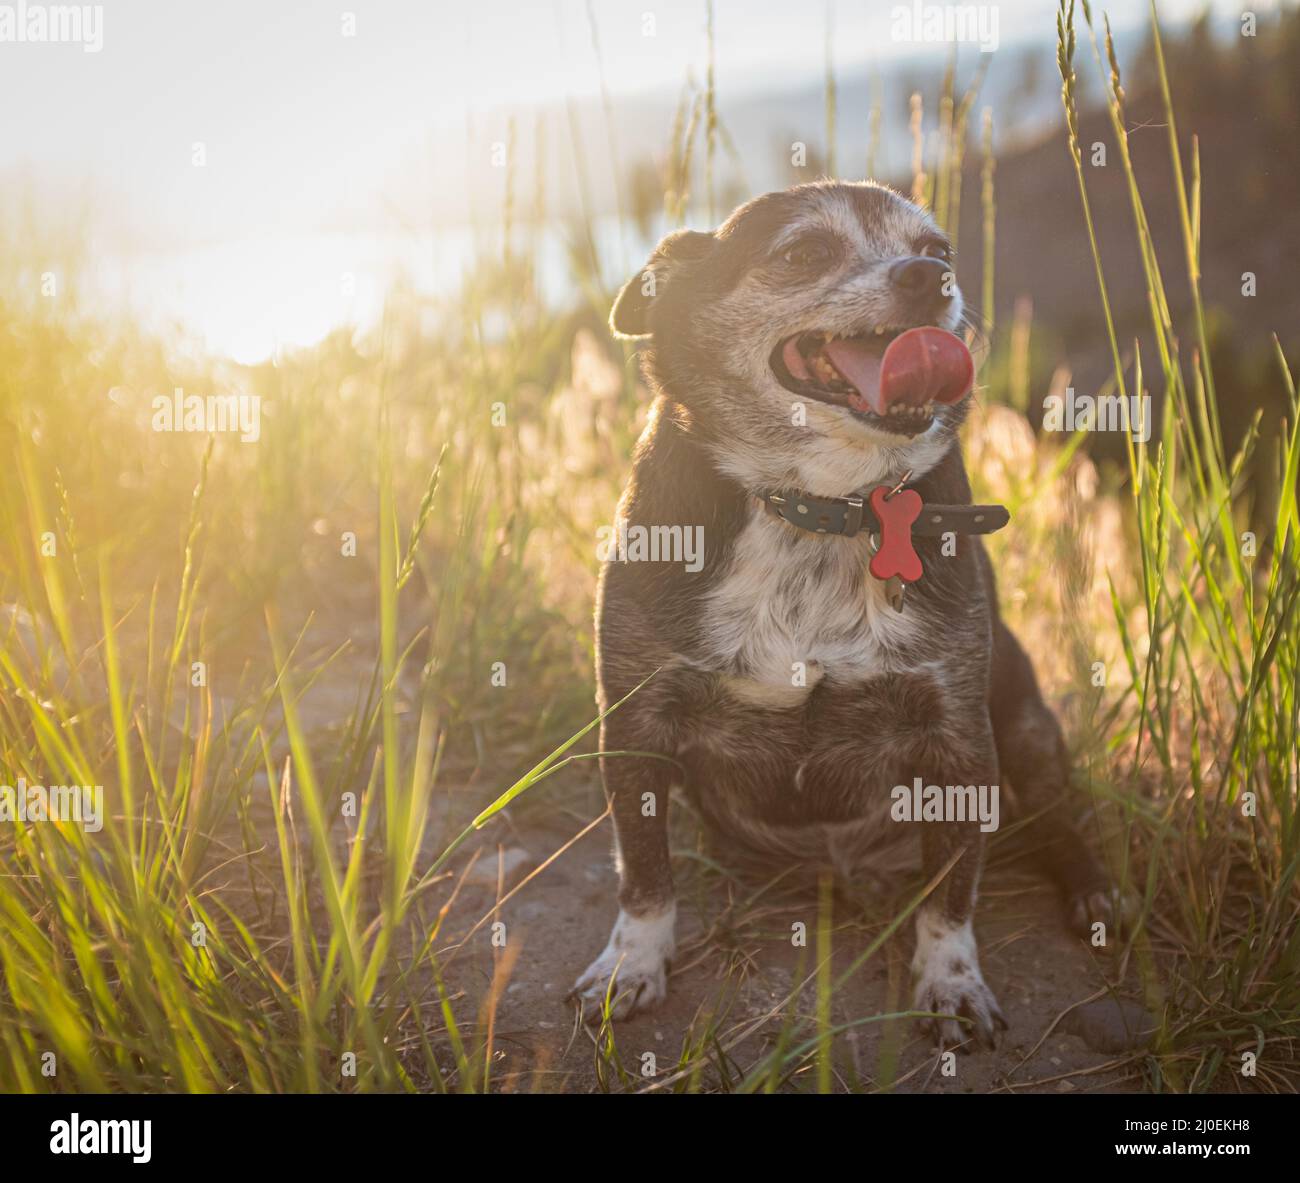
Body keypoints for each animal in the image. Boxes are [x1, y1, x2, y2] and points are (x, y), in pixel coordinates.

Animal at [574, 180, 1112, 1050]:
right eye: (803, 253)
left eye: (939, 248)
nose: (930, 278)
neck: (821, 505)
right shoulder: (634, 727)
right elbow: (645, 871)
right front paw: (633, 963)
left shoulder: (959, 740)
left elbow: (952, 891)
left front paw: (951, 980)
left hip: (1029, 726)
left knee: (1059, 817)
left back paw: (1091, 889)